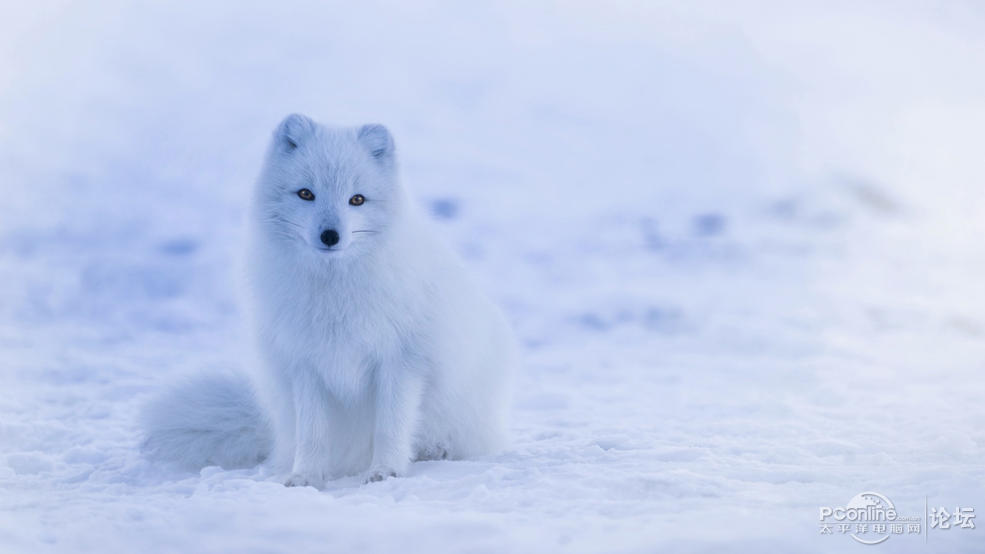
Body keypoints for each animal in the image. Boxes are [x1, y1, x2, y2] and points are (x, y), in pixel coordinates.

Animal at [145, 113, 520, 484]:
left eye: (357, 199)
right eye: (306, 193)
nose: (330, 235)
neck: (334, 291)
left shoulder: (401, 361)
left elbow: (391, 425)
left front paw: (386, 470)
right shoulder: (305, 364)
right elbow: (312, 433)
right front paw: (306, 476)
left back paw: (434, 450)